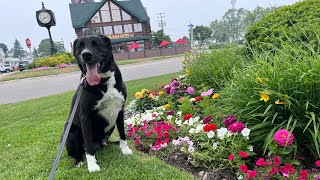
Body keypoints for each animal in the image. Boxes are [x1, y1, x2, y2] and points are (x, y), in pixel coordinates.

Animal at [64, 34, 132, 172]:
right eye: (80, 46)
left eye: (96, 44)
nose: (86, 54)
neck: (103, 81)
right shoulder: (85, 116)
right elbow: (88, 143)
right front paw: (92, 165)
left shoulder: (120, 110)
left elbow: (122, 133)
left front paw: (125, 149)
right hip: (70, 131)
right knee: (77, 151)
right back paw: (79, 160)